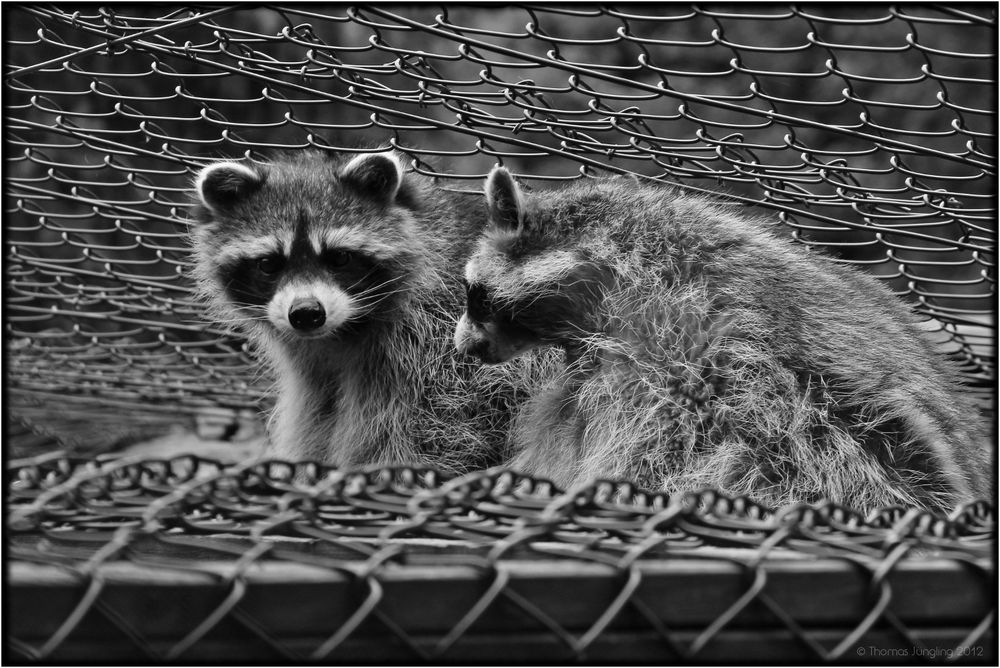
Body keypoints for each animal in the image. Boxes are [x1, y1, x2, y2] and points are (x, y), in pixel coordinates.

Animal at [188, 151, 548, 472]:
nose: (306, 313)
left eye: (339, 258)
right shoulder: (317, 372)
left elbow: (442, 438)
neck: (344, 332)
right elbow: (317, 420)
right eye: (268, 264)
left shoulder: (440, 351)